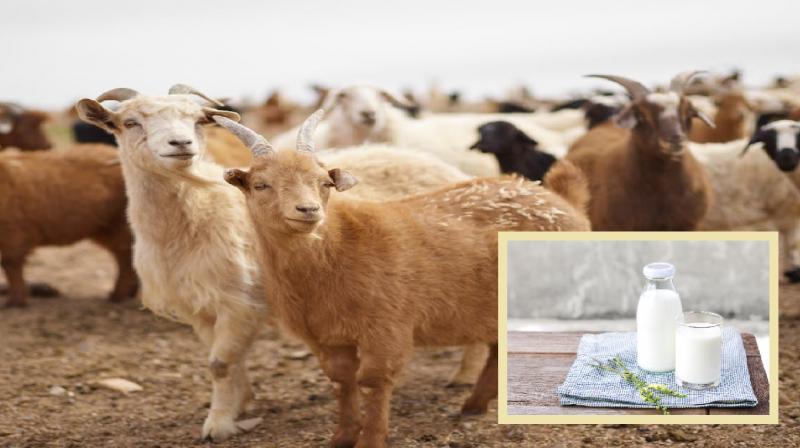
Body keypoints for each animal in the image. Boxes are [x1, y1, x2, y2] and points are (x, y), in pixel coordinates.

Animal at [216, 110, 590, 447]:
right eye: (261, 185)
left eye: (325, 182)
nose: (308, 210)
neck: (339, 245)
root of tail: (563, 201)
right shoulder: (327, 336)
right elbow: (341, 381)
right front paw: (342, 437)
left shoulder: (386, 327)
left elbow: (372, 381)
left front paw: (371, 440)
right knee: (499, 348)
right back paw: (473, 405)